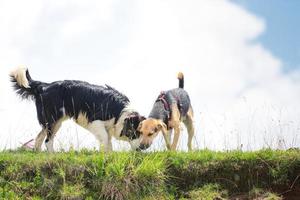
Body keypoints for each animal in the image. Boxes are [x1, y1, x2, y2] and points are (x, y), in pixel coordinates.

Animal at [11, 67, 147, 152]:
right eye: (136, 132)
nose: (142, 148)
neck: (120, 112)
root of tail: (44, 86)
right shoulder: (95, 121)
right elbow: (104, 139)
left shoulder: (108, 127)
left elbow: (108, 142)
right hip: (52, 120)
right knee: (48, 141)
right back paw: (52, 155)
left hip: (53, 122)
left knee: (39, 138)